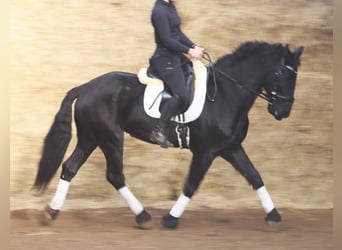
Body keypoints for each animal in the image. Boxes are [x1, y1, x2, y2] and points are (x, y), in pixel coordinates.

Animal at [33, 41, 304, 229]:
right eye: (281, 73)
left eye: (296, 75)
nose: (283, 111)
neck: (225, 95)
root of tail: (86, 87)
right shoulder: (205, 152)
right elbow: (191, 185)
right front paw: (171, 219)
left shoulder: (230, 148)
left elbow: (255, 177)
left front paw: (274, 215)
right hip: (110, 138)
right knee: (115, 175)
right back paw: (142, 216)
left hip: (91, 137)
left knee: (70, 167)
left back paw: (51, 212)